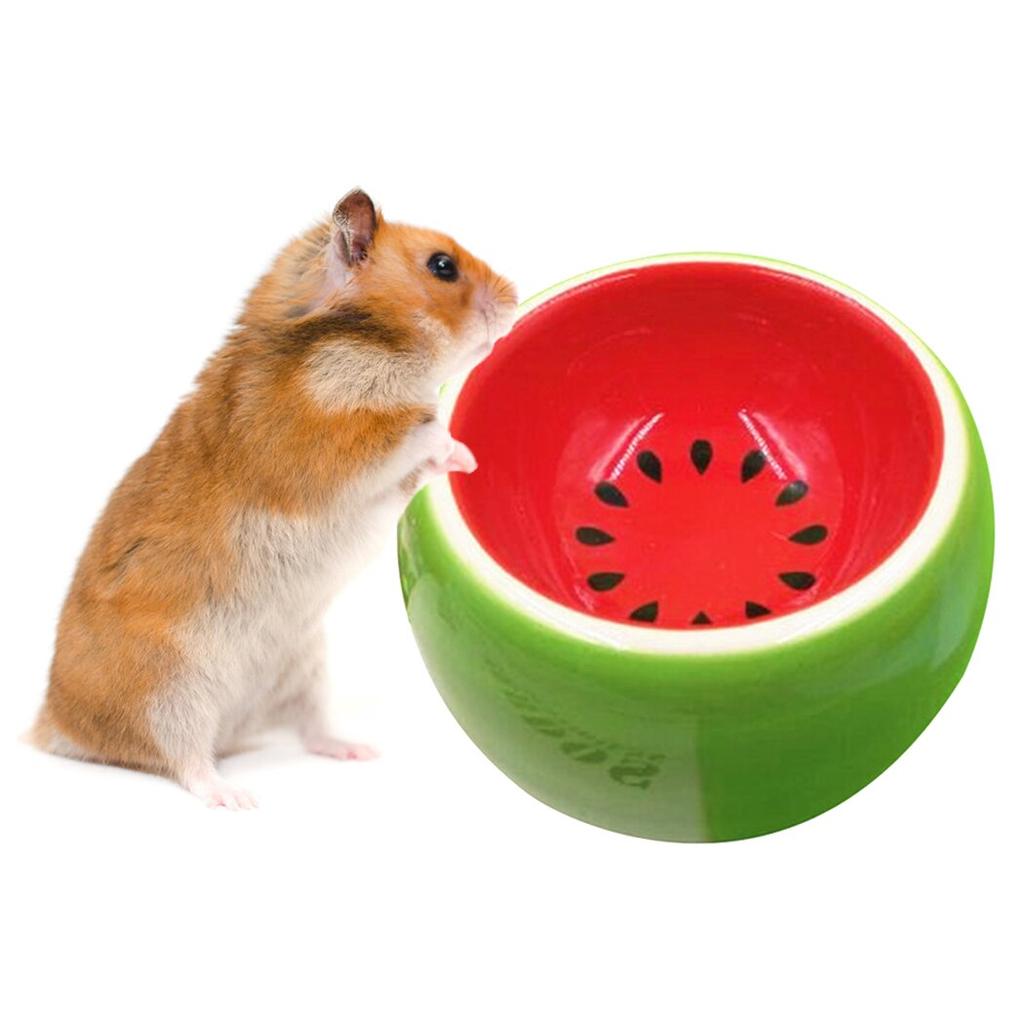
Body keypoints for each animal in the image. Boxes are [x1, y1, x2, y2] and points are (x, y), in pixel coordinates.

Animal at [31, 190, 518, 808]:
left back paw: (357, 750)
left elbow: (409, 472)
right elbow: (416, 431)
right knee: (185, 760)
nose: (516, 295)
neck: (359, 342)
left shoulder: (378, 490)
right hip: (169, 692)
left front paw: (460, 463)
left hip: (300, 666)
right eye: (442, 266)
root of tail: (53, 726)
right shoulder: (333, 449)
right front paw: (466, 450)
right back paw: (234, 797)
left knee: (310, 729)